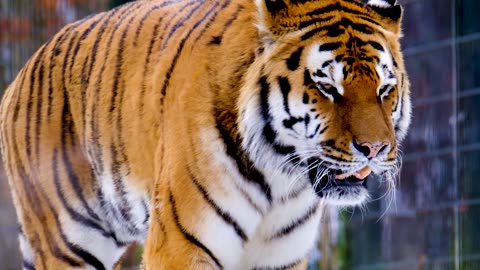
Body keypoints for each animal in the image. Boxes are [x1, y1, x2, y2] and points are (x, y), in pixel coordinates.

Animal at [0, 0, 412, 268]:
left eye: (384, 89)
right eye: (327, 87)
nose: (375, 149)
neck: (280, 181)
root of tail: (22, 72)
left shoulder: (282, 256)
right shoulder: (180, 245)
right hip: (68, 241)